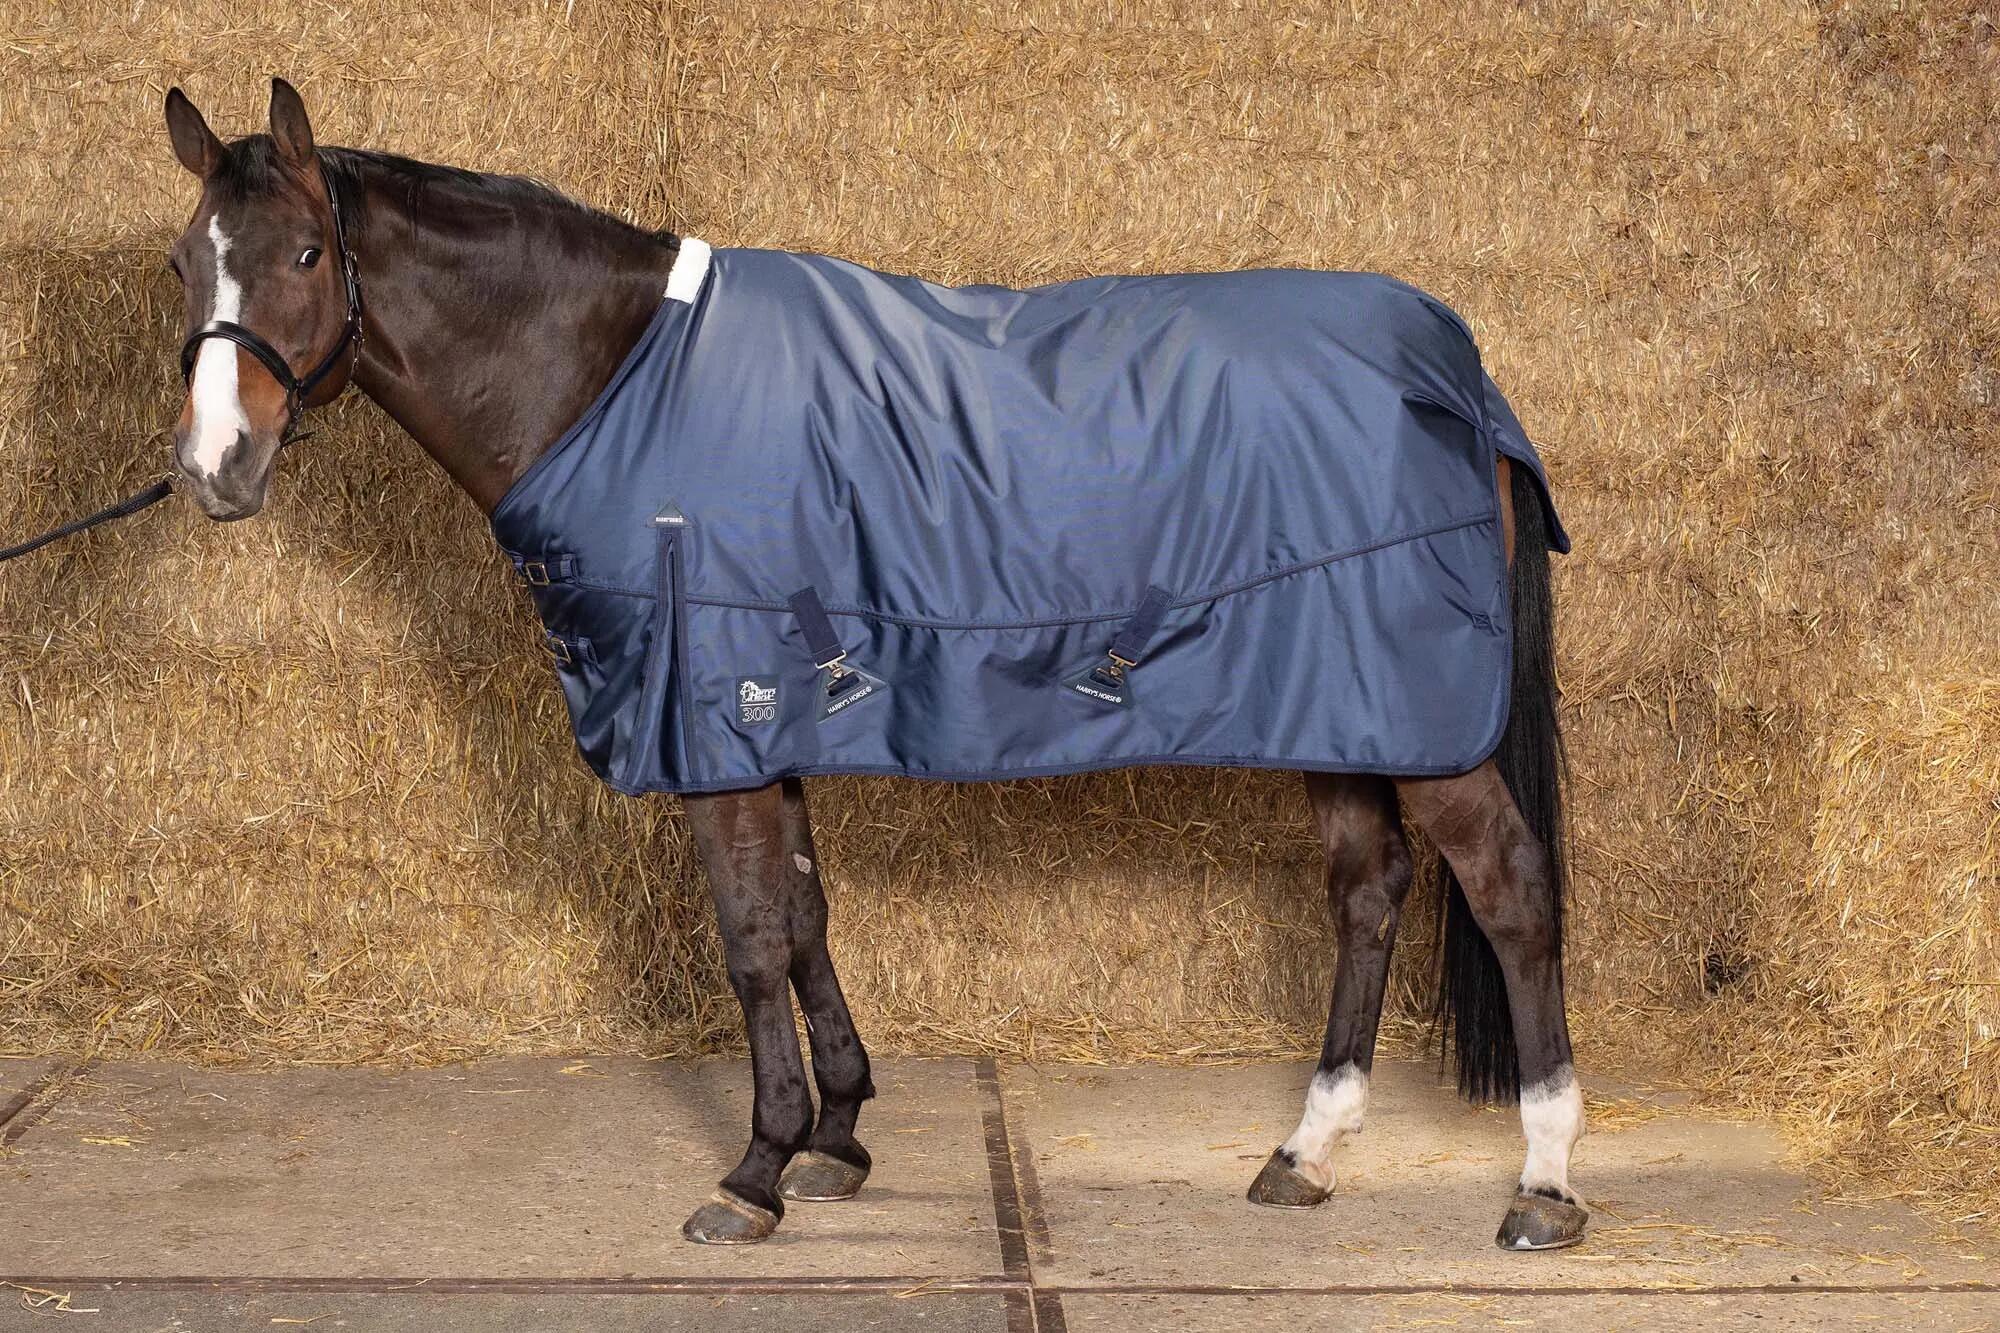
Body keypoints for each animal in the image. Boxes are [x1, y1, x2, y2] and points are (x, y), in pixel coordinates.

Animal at [159, 79, 1587, 1251]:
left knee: (1508, 887)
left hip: (1418, 717)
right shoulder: (768, 723)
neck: (617, 378)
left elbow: (748, 940)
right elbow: (803, 916)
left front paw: (753, 1168)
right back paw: (1303, 1154)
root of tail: (1456, 371)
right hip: (1336, 707)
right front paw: (836, 1135)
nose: (214, 467)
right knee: (1367, 890)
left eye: (303, 253)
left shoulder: (717, 722)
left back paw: (1542, 1184)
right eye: (184, 261)